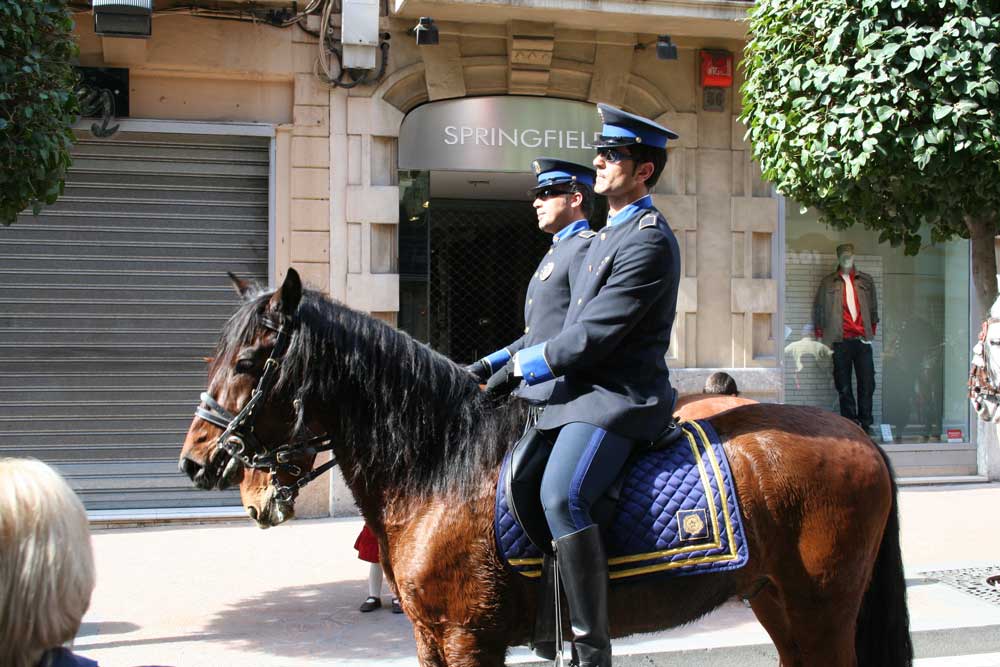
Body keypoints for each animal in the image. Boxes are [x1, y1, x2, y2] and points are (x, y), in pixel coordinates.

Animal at [180, 268, 916, 664]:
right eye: (214, 356)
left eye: (250, 361)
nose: (195, 461)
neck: (440, 461)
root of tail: (858, 436)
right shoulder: (430, 635)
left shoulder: (468, 636)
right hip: (779, 602)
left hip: (822, 607)